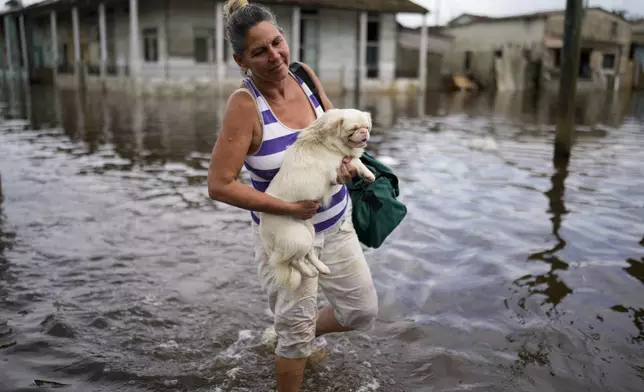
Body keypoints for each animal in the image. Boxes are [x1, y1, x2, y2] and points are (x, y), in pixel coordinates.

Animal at [258, 107, 374, 290]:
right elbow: (355, 161)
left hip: (309, 230)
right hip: (299, 238)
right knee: (295, 260)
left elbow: (356, 160)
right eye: (353, 129)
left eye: (366, 127)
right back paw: (309, 272)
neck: (325, 138)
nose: (364, 132)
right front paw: (369, 174)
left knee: (308, 254)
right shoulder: (336, 168)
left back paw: (321, 268)